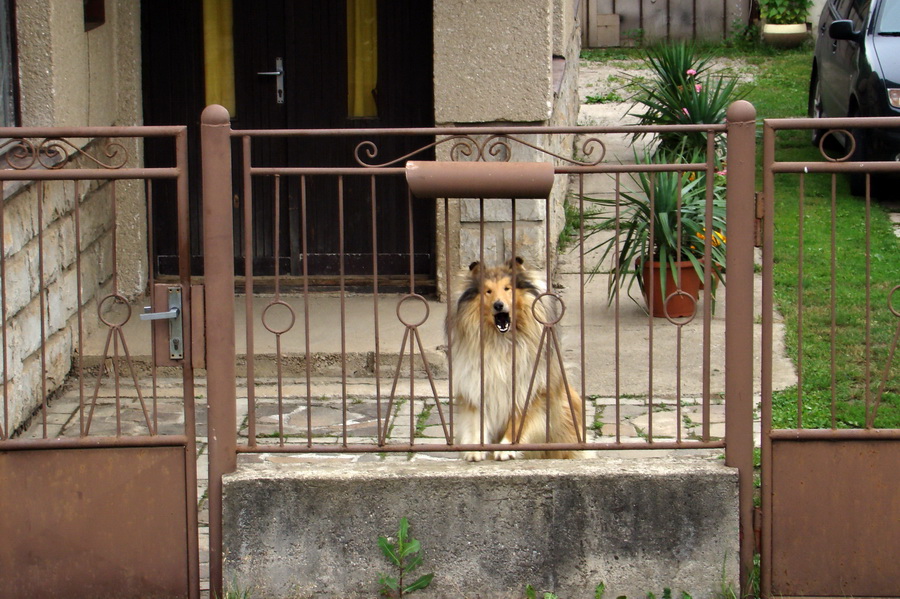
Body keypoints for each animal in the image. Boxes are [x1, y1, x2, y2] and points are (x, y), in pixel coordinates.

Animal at [450, 258, 584, 464]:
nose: (498, 305)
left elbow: (518, 422)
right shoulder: (476, 389)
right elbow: (476, 424)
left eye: (507, 288)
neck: (501, 342)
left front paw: (506, 449)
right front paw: (475, 450)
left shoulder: (530, 391)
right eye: (488, 291)